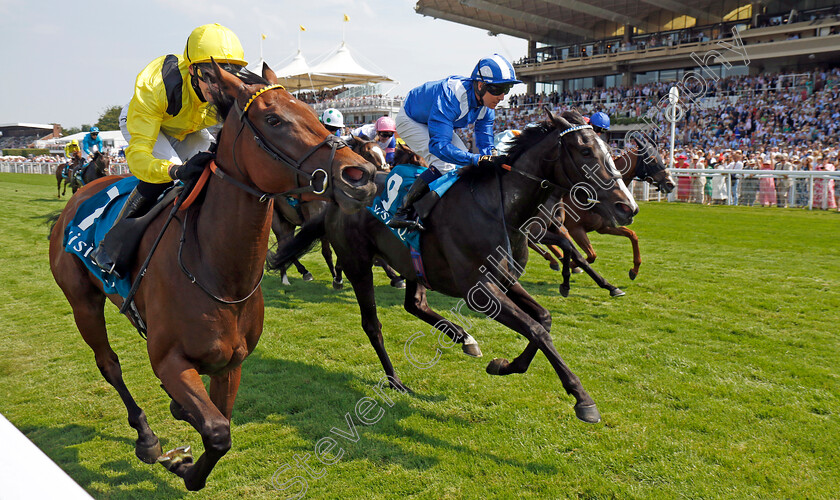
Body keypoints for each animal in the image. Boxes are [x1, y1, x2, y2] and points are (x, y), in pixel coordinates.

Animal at [46, 63, 374, 492]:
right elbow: (218, 432)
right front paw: (180, 465)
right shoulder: (169, 360)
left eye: (311, 113)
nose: (362, 175)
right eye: (274, 119)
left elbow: (220, 427)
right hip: (82, 302)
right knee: (109, 364)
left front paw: (186, 442)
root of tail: (76, 199)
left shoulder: (230, 364)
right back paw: (146, 438)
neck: (218, 271)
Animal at [276, 109, 636, 422]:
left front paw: (503, 365)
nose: (627, 207)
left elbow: (543, 320)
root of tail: (339, 200)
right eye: (585, 150)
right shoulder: (480, 290)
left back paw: (464, 338)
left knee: (415, 304)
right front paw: (582, 399)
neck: (500, 208)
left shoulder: (505, 279)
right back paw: (395, 379)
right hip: (358, 264)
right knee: (372, 324)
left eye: (610, 149)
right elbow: (535, 329)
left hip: (412, 264)